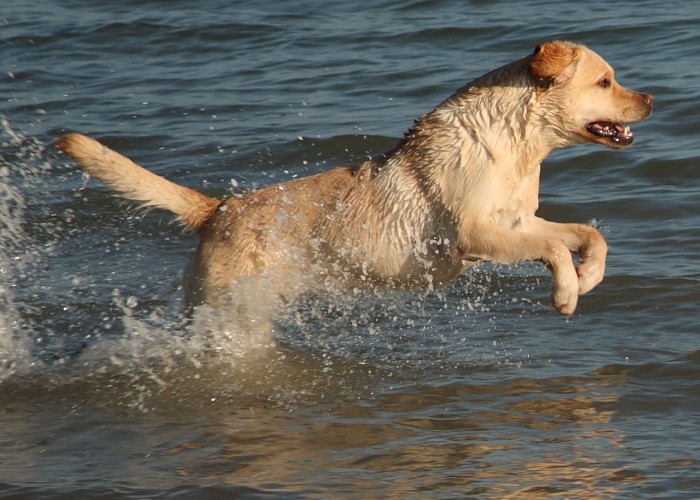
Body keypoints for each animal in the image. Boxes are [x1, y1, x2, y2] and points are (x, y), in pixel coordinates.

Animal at [57, 40, 652, 328]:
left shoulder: (518, 221)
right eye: (606, 81)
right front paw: (566, 293)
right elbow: (554, 247)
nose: (650, 99)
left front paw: (589, 277)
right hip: (234, 306)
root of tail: (218, 209)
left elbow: (589, 235)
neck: (515, 145)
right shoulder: (476, 236)